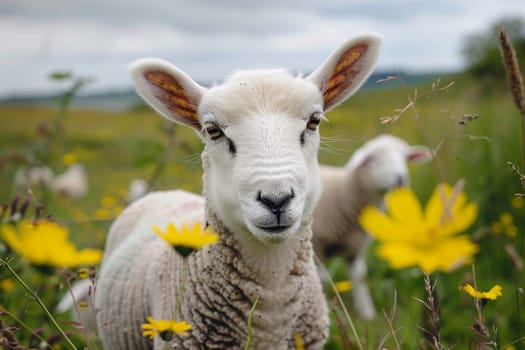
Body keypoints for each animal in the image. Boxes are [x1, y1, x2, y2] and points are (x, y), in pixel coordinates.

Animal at [312, 134, 430, 320]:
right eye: (374, 159)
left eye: (405, 158)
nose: (401, 178)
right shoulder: (316, 244)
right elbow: (321, 278)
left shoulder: (355, 247)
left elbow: (360, 276)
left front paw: (367, 312)